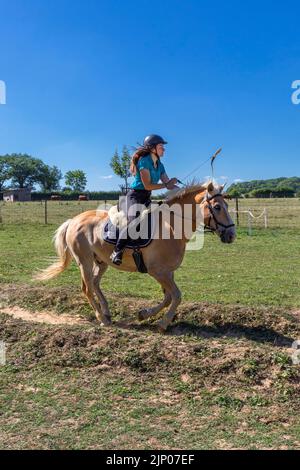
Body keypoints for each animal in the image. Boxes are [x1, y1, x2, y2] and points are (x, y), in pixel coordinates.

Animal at [36, 182, 236, 332]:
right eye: (217, 207)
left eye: (227, 205)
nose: (231, 235)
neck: (171, 226)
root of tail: (73, 220)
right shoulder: (158, 272)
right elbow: (177, 296)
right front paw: (163, 323)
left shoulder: (167, 272)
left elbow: (168, 297)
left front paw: (144, 314)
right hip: (84, 261)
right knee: (87, 288)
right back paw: (102, 318)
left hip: (101, 262)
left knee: (95, 283)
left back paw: (106, 311)